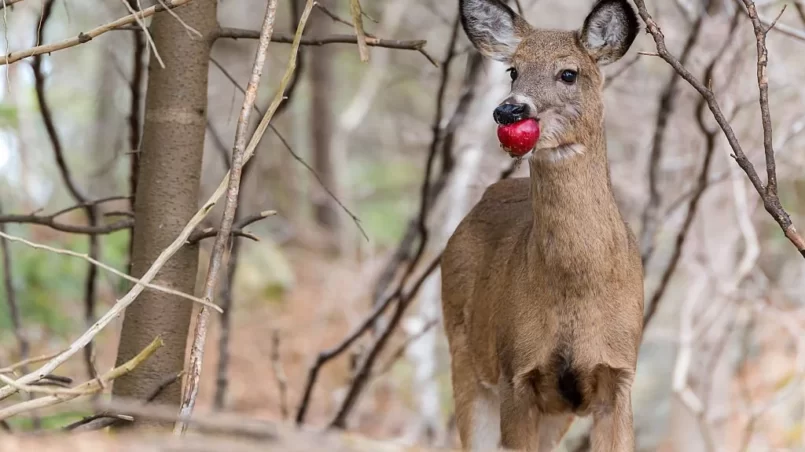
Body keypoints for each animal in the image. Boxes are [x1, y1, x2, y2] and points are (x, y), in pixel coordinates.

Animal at [440, 0, 648, 450]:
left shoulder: (619, 371)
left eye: (568, 72)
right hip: (464, 352)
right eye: (512, 70)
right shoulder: (516, 371)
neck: (576, 288)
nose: (509, 109)